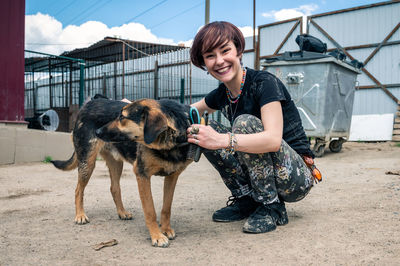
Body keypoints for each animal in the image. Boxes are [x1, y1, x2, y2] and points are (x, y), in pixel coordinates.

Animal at [52, 97, 194, 247]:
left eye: (122, 117)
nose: (98, 131)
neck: (167, 145)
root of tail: (90, 102)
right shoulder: (142, 174)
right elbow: (150, 211)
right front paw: (157, 236)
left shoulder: (172, 177)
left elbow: (167, 207)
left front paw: (166, 229)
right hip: (87, 162)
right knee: (78, 189)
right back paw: (80, 215)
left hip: (116, 163)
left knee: (114, 188)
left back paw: (122, 212)